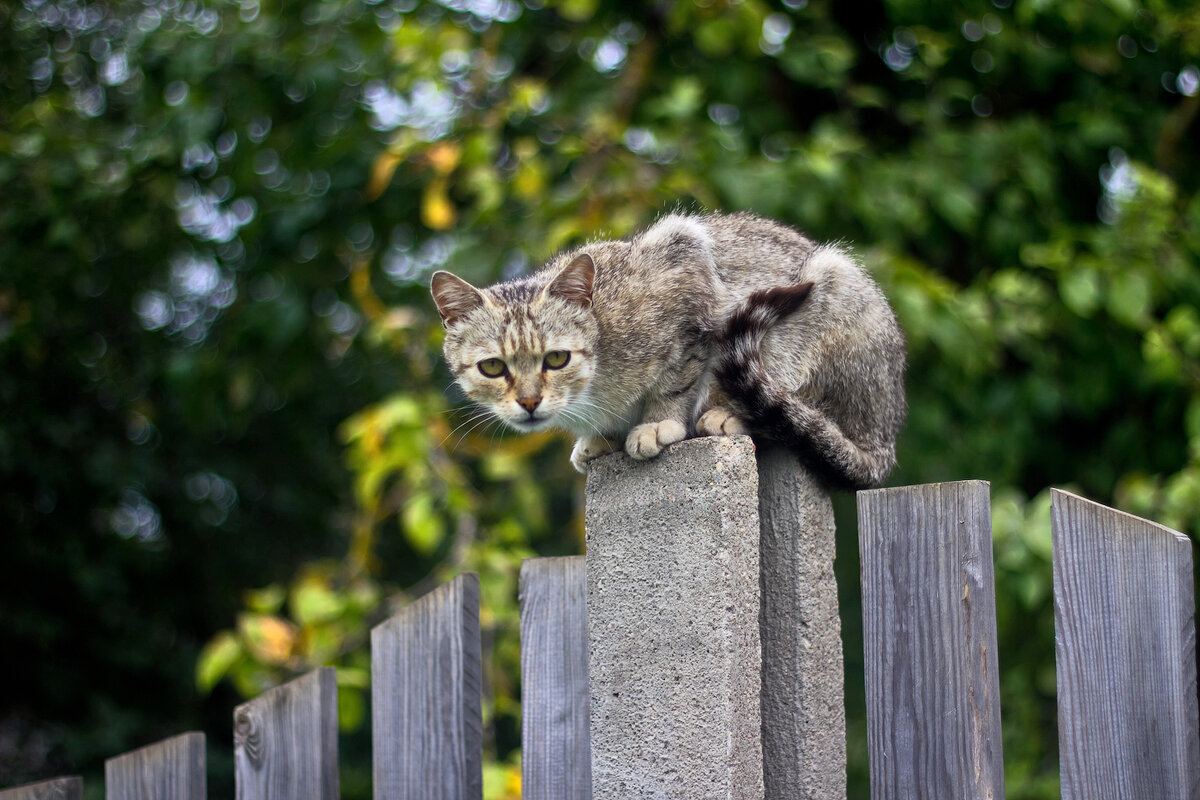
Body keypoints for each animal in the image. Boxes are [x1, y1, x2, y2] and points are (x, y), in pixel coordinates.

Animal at [427, 211, 902, 489]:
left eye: (556, 359)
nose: (529, 402)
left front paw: (658, 424)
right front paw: (597, 439)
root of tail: (884, 440)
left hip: (829, 288)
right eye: (492, 367)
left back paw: (728, 415)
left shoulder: (688, 271)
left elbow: (677, 378)